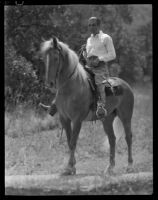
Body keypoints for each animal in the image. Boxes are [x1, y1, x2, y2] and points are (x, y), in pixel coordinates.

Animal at [40, 36, 134, 175]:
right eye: (45, 58)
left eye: (56, 58)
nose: (49, 83)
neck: (71, 87)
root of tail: (125, 85)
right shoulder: (65, 119)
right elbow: (69, 141)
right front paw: (71, 167)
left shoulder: (77, 120)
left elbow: (73, 142)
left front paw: (69, 167)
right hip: (107, 119)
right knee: (112, 139)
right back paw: (110, 167)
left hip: (125, 116)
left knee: (128, 137)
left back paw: (129, 166)